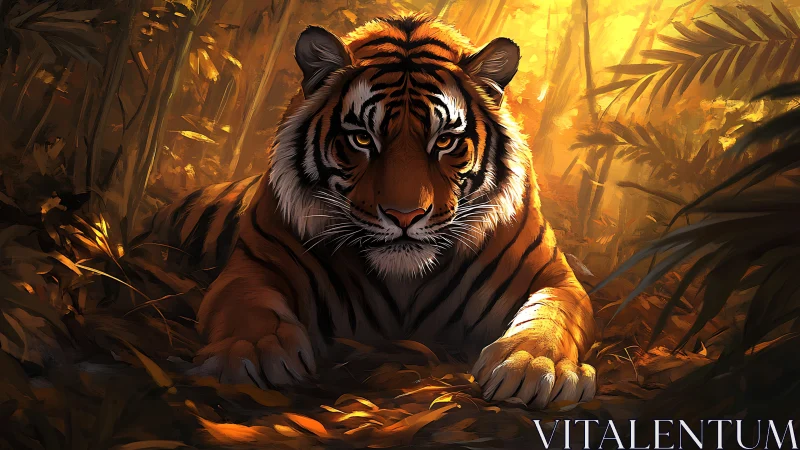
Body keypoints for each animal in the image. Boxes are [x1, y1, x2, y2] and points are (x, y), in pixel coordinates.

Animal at [149, 13, 597, 409]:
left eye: (445, 141)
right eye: (363, 139)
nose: (405, 216)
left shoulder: (554, 278)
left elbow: (552, 316)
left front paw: (534, 366)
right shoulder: (252, 267)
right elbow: (244, 305)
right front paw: (249, 355)